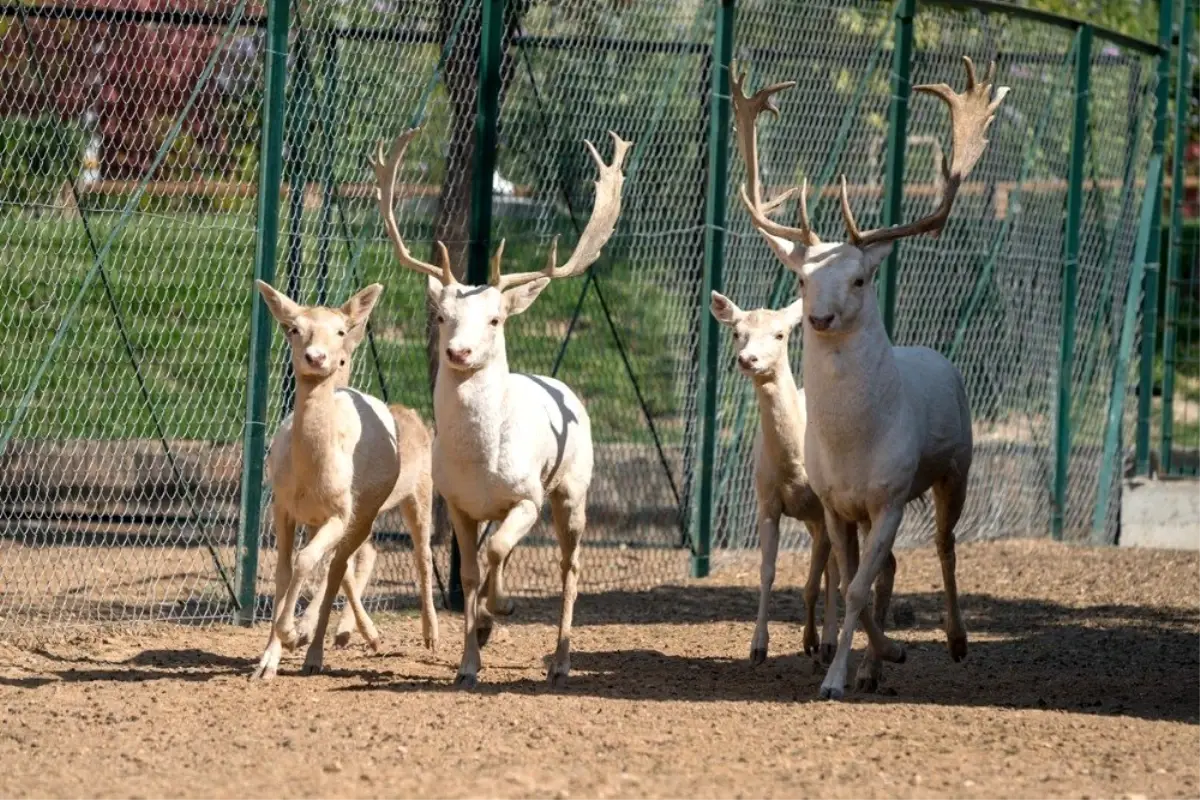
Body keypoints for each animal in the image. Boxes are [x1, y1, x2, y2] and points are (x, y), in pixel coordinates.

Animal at [369, 125, 633, 690]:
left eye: (495, 319)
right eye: (442, 315)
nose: (458, 352)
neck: (482, 461)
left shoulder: (528, 495)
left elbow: (496, 555)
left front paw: (503, 610)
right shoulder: (459, 504)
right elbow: (470, 573)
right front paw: (469, 660)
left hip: (573, 488)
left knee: (570, 565)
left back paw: (560, 660)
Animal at [734, 56, 1008, 695]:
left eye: (859, 279)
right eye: (803, 278)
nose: (819, 316)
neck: (853, 445)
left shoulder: (890, 494)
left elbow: (857, 586)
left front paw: (843, 674)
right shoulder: (837, 504)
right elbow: (850, 579)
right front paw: (869, 658)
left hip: (956, 468)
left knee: (944, 545)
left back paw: (955, 640)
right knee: (889, 566)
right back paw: (875, 664)